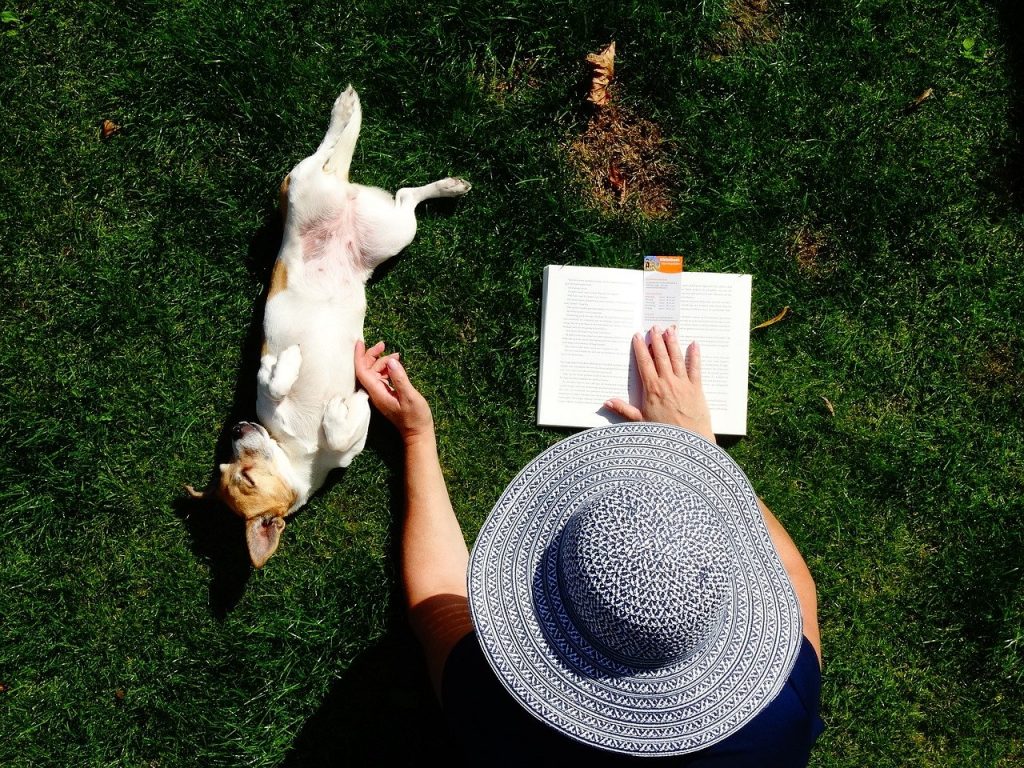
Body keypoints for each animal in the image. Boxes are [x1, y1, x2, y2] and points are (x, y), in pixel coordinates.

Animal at [188, 87, 468, 569]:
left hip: (315, 189)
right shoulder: (346, 446)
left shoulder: (271, 398)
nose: (238, 427)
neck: (303, 453)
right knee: (399, 192)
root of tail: (342, 193)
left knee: (329, 154)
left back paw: (348, 112)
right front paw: (345, 403)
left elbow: (273, 378)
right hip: (394, 229)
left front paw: (290, 365)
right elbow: (343, 423)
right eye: (227, 466)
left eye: (245, 476)